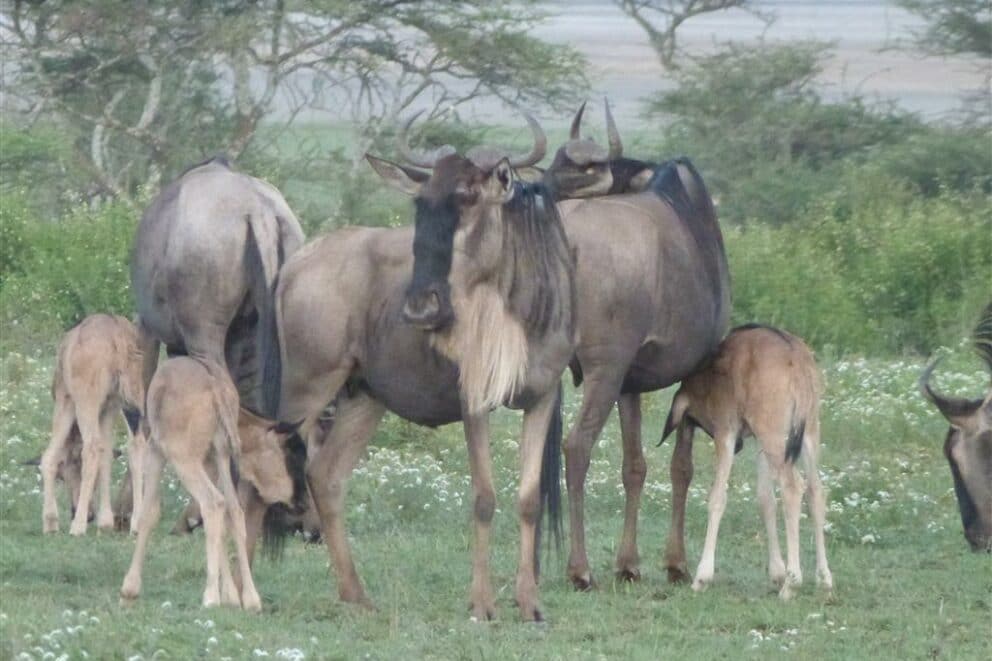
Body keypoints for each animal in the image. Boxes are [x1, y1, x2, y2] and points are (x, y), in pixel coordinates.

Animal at [660, 324, 833, 599]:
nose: (741, 446)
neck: (707, 378)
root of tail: (795, 355)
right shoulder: (758, 441)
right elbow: (765, 500)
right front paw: (776, 571)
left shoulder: (726, 432)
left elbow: (718, 497)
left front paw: (703, 576)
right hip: (807, 432)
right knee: (816, 491)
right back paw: (824, 578)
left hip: (773, 433)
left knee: (793, 487)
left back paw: (793, 582)